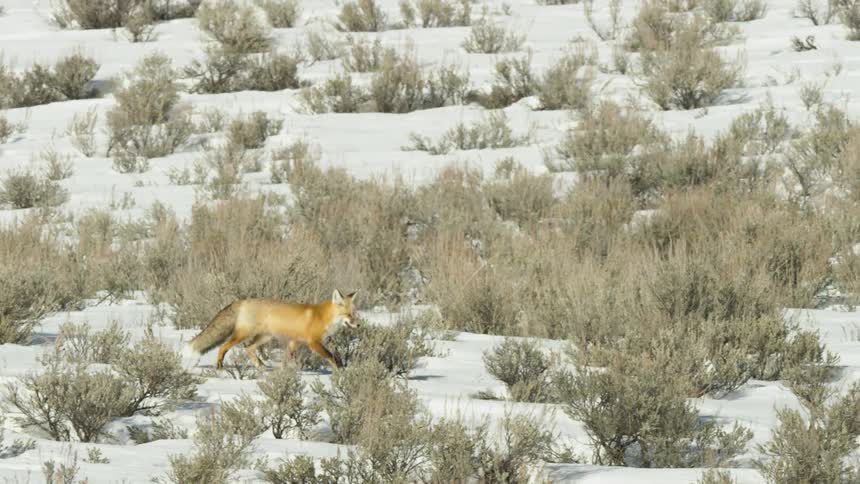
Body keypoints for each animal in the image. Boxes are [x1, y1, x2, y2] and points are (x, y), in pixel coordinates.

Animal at [182, 289, 359, 370]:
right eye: (348, 315)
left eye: (354, 313)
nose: (358, 325)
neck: (323, 316)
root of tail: (243, 301)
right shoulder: (313, 342)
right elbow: (331, 356)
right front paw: (339, 370)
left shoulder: (295, 341)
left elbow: (287, 357)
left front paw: (282, 372)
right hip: (243, 334)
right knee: (223, 347)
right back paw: (219, 364)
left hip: (265, 337)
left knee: (248, 348)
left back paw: (260, 365)